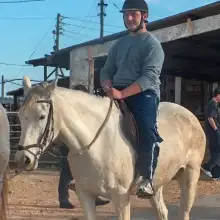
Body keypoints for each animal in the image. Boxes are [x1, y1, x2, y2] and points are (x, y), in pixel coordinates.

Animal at [14, 77, 205, 220]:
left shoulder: (121, 198)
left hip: (190, 175)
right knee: (162, 212)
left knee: (184, 212)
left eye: (42, 116)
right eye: (20, 116)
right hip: (156, 184)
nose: (23, 159)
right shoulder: (85, 195)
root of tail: (190, 116)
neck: (96, 144)